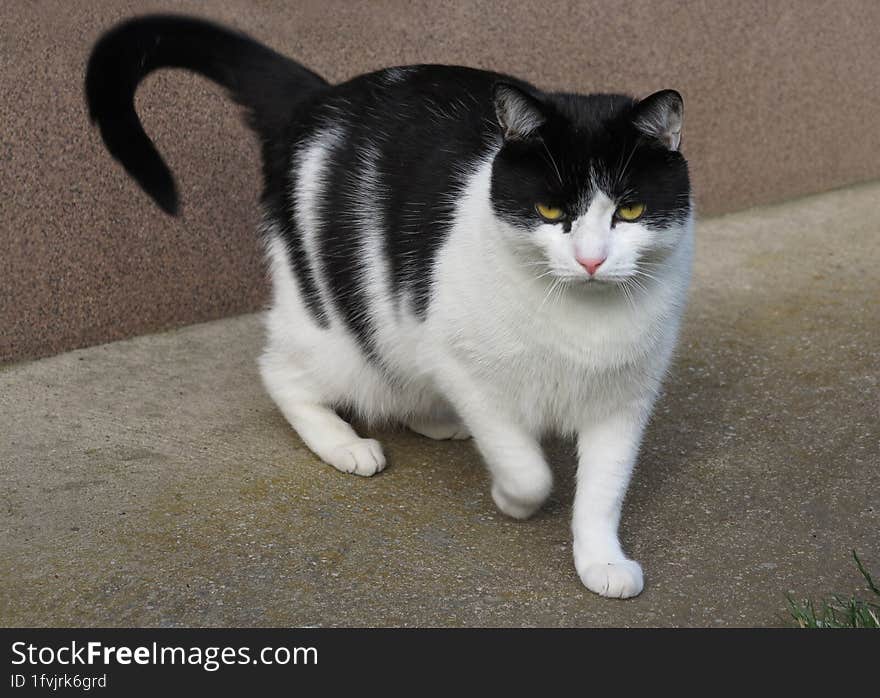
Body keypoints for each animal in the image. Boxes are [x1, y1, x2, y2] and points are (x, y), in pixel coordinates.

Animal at [89, 13, 696, 596]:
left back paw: (432, 417)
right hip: (335, 328)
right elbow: (527, 469)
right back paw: (342, 442)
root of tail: (322, 99)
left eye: (631, 210)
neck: (579, 315)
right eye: (549, 210)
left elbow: (602, 492)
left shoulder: (624, 400)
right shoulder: (466, 368)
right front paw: (512, 499)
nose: (591, 260)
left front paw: (601, 561)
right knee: (282, 372)